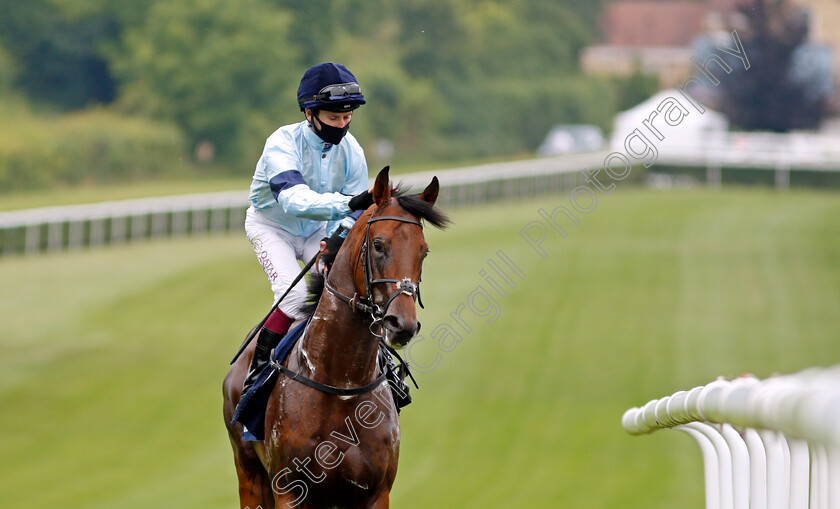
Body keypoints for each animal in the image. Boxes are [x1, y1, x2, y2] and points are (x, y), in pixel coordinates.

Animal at [221, 168, 446, 508]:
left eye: (424, 250)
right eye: (378, 245)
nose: (402, 324)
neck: (341, 382)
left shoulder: (375, 493)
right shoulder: (289, 490)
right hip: (249, 473)